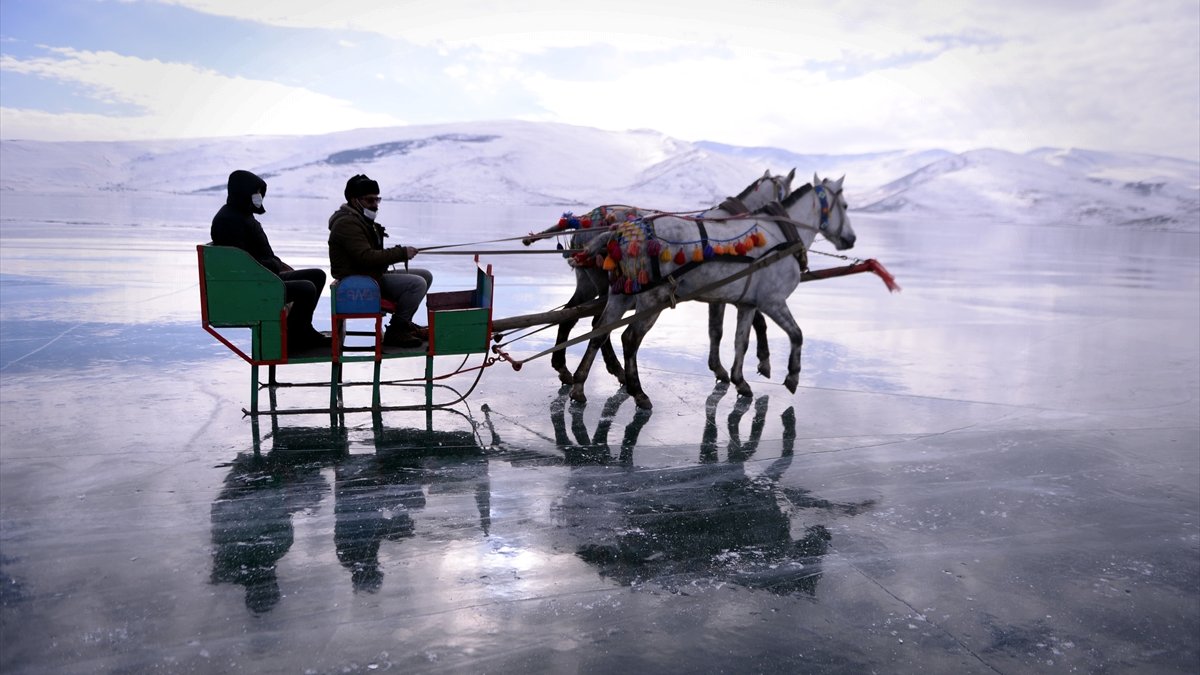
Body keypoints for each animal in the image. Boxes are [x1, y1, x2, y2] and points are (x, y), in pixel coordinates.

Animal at [520, 168, 792, 386]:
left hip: (592, 282)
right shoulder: (732, 284)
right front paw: (759, 363)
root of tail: (582, 220)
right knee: (593, 321)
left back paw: (571, 368)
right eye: (786, 189)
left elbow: (727, 325)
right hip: (608, 284)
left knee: (575, 315)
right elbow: (751, 322)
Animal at [568, 172, 854, 408]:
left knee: (598, 331)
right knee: (629, 338)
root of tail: (616, 233)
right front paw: (791, 375)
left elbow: (740, 340)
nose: (851, 239)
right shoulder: (772, 301)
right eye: (845, 206)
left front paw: (739, 380)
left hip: (620, 295)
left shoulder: (744, 302)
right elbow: (796, 334)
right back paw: (637, 392)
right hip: (651, 299)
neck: (781, 237)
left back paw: (579, 385)